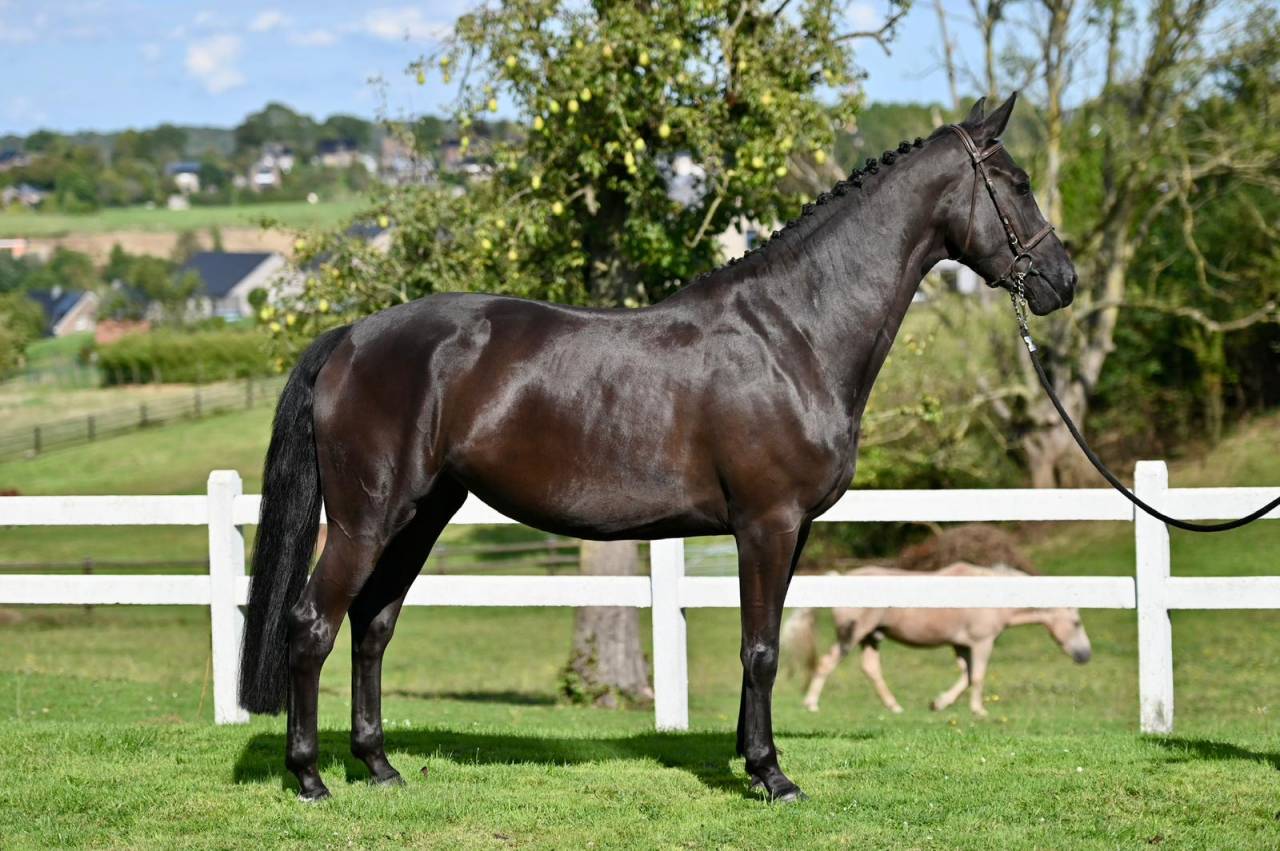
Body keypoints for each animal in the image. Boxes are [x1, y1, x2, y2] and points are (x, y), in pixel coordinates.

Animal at [784, 563, 1092, 716]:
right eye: (1076, 623)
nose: (1085, 655)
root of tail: (838, 577)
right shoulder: (981, 642)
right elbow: (977, 676)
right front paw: (978, 710)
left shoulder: (961, 645)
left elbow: (966, 677)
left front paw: (939, 703)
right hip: (853, 635)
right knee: (827, 663)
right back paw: (811, 704)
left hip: (871, 637)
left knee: (871, 669)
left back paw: (894, 706)